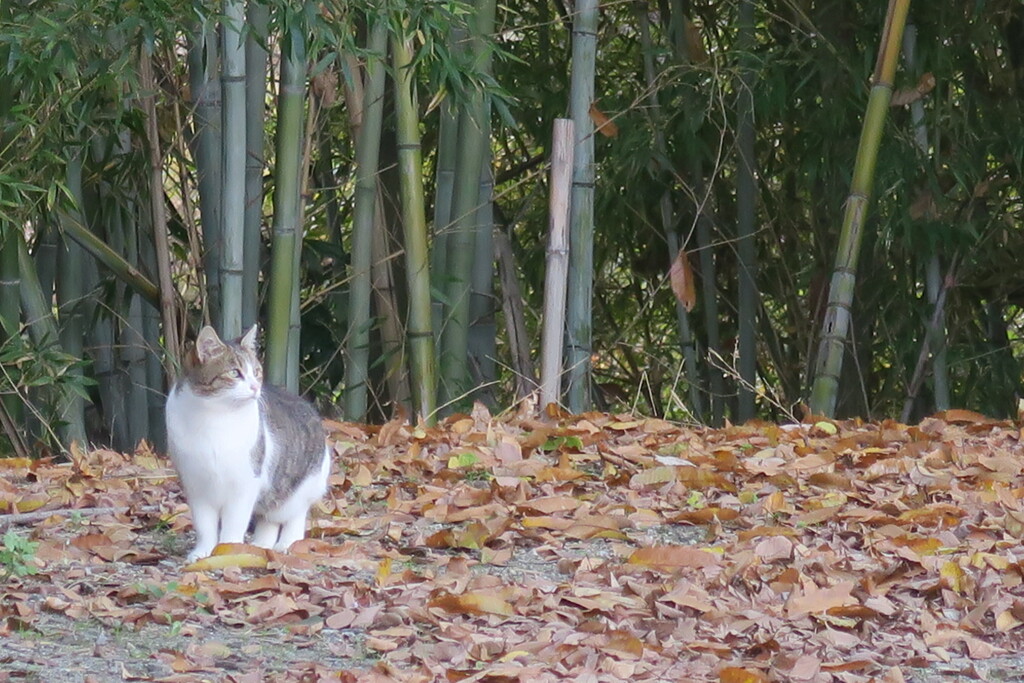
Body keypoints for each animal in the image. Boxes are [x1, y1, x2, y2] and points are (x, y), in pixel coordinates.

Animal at [165, 325, 329, 561]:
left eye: (257, 372)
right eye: (235, 373)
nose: (254, 387)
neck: (214, 418)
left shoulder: (244, 485)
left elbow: (234, 524)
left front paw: (227, 551)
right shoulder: (196, 486)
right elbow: (205, 526)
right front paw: (203, 552)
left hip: (300, 488)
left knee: (293, 516)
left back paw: (287, 544)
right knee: (268, 521)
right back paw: (261, 545)